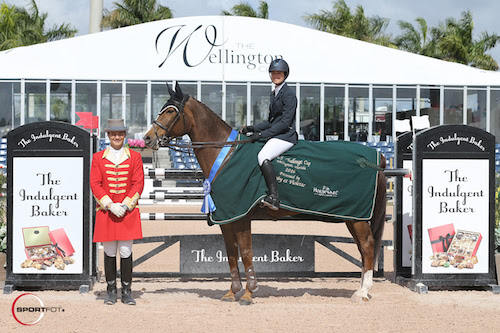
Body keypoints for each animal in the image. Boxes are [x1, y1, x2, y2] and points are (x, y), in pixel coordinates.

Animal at [143, 81, 388, 304]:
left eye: (170, 111)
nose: (147, 138)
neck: (225, 154)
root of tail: (377, 159)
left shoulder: (241, 216)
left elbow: (245, 252)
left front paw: (249, 293)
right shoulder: (226, 218)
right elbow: (231, 254)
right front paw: (232, 292)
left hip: (357, 217)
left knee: (367, 246)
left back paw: (362, 292)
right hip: (353, 216)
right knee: (363, 247)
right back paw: (360, 289)